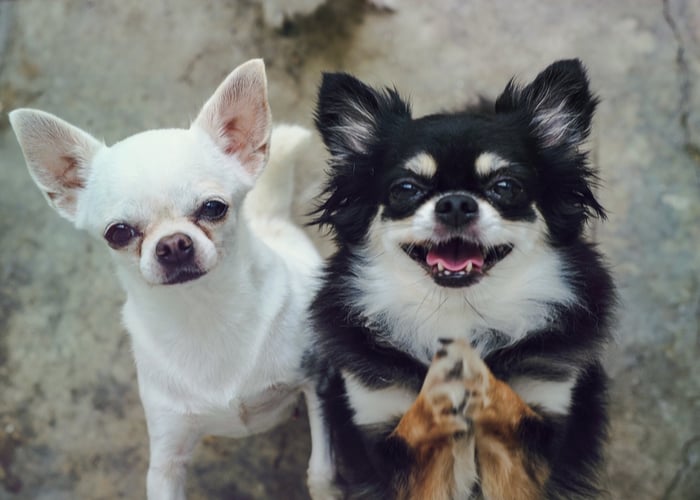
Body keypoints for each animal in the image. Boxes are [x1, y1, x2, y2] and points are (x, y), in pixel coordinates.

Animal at [8, 59, 322, 500]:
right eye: (118, 233)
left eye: (214, 208)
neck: (203, 312)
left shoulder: (319, 381)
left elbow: (324, 469)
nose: (173, 244)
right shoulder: (167, 456)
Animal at [304, 59, 612, 500]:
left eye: (506, 187)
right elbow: (416, 432)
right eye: (405, 189)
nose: (455, 203)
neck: (457, 311)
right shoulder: (382, 430)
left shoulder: (541, 428)